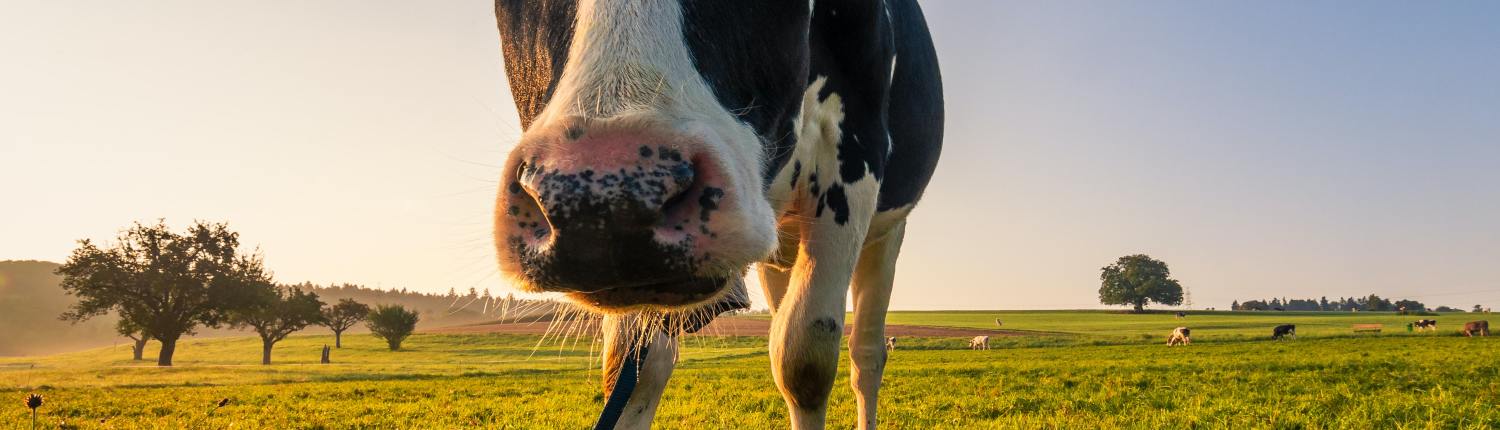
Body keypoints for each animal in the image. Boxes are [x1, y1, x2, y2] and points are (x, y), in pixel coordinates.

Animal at [492, 1, 942, 428]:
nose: (604, 202)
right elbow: (632, 369)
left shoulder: (854, 156)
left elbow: (805, 362)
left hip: (886, 232)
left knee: (865, 355)